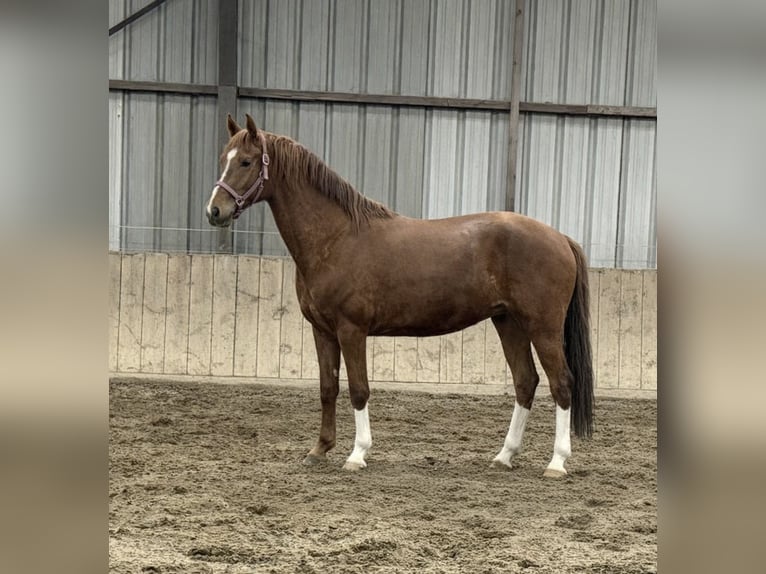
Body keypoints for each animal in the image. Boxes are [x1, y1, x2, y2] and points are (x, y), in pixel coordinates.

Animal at [206, 113, 594, 478]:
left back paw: (556, 462)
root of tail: (561, 238)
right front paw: (319, 450)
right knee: (526, 382)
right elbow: (328, 388)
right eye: (223, 158)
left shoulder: (351, 329)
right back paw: (504, 456)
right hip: (508, 322)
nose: (214, 211)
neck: (337, 238)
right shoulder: (322, 330)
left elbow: (358, 389)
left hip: (542, 327)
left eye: (246, 162)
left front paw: (357, 454)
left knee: (562, 384)